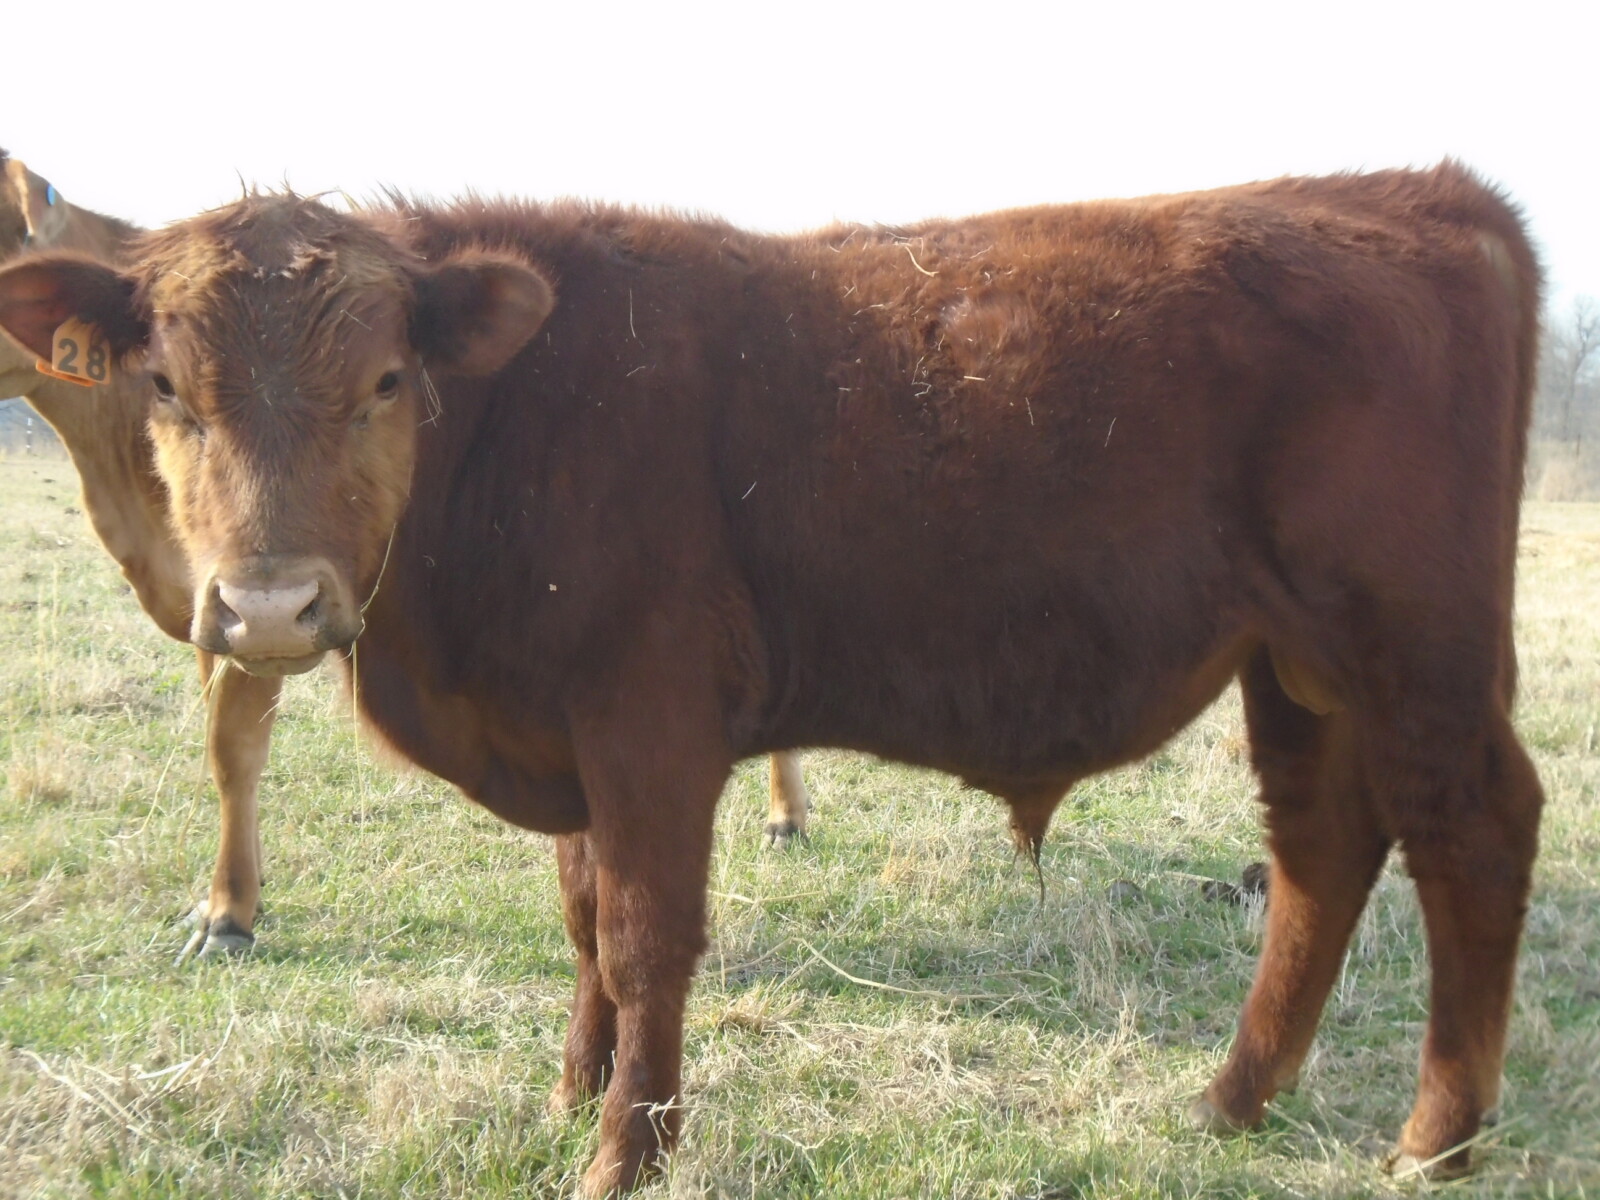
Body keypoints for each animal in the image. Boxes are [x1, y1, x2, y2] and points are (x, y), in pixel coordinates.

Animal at [0, 162, 1544, 1195]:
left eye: (385, 381)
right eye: (164, 386)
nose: (267, 605)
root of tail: (1420, 195)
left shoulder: (650, 723)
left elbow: (643, 936)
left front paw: (624, 1151)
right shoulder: (571, 734)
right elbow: (582, 922)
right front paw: (575, 1091)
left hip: (1412, 651)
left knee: (1472, 830)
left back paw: (1434, 1140)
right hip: (1297, 668)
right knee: (1322, 852)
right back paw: (1231, 1103)